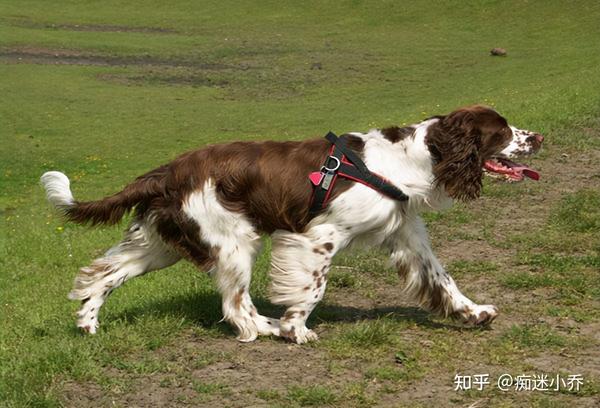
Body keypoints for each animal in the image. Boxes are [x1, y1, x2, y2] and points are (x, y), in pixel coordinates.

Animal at [42, 103, 544, 342]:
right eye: (502, 131)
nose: (537, 136)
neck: (407, 160)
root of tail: (168, 171)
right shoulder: (318, 236)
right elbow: (313, 289)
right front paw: (296, 328)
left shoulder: (407, 235)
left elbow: (443, 279)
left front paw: (474, 313)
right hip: (234, 241)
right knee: (236, 307)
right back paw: (268, 328)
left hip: (163, 243)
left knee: (103, 274)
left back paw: (87, 324)